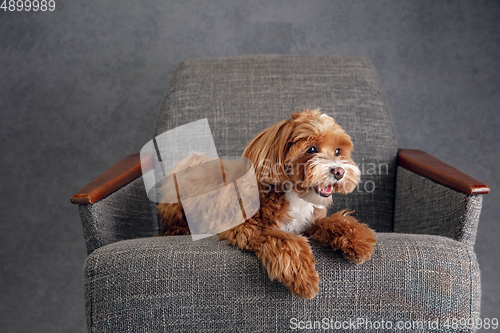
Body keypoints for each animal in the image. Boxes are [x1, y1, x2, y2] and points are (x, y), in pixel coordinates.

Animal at [158, 109, 376, 298]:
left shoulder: (309, 223)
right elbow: (285, 239)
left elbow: (333, 222)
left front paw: (358, 239)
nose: (339, 172)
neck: (293, 194)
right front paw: (303, 276)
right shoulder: (247, 228)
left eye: (338, 151)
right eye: (311, 149)